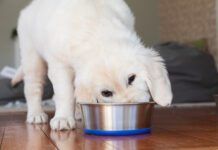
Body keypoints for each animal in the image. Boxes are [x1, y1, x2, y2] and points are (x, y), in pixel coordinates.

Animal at [14, 0, 172, 130]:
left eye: (131, 78)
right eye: (106, 93)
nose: (131, 105)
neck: (97, 28)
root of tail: (30, 6)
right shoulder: (59, 65)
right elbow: (65, 93)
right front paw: (63, 118)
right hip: (31, 57)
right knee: (32, 88)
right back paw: (35, 114)